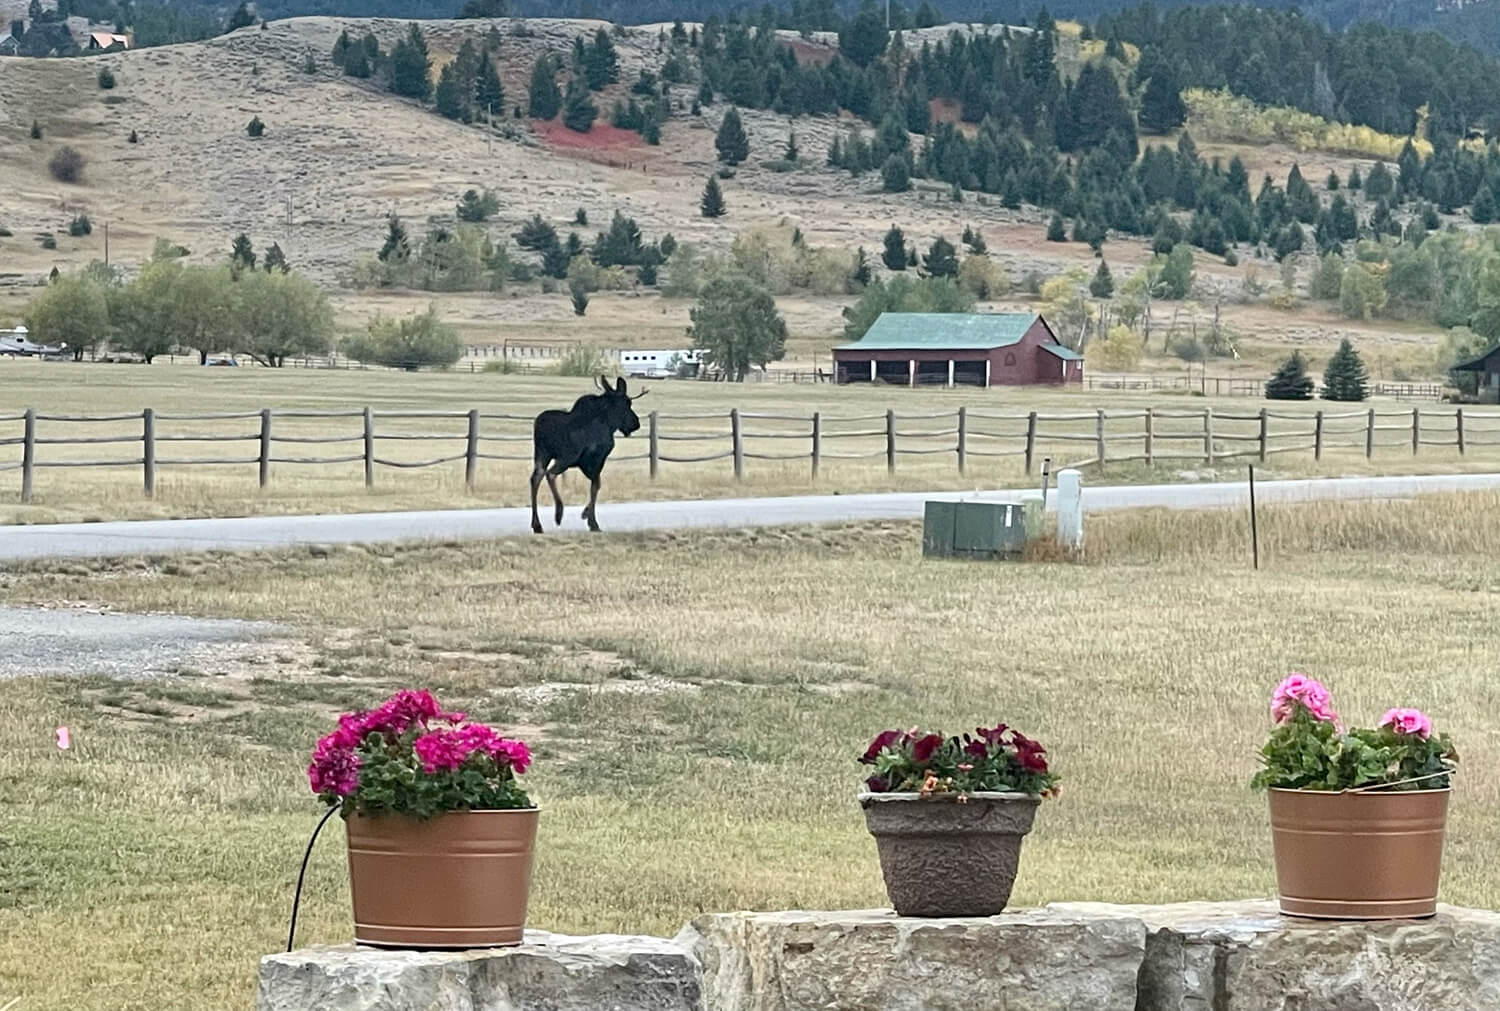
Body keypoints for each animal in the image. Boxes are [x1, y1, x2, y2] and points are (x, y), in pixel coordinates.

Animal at [529, 376, 646, 534]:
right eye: (628, 403)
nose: (636, 423)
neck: (609, 424)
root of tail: (539, 427)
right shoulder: (597, 458)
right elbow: (596, 485)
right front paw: (591, 520)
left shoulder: (584, 463)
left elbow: (596, 484)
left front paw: (587, 516)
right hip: (567, 456)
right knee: (550, 474)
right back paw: (559, 513)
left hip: (542, 453)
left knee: (536, 477)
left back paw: (537, 525)